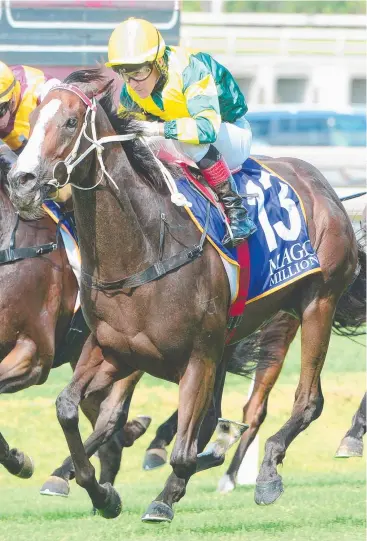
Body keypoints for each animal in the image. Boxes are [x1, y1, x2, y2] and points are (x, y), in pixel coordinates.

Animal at [8, 67, 366, 520]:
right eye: (33, 120)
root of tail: (322, 183)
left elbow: (180, 449)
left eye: (70, 122)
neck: (144, 249)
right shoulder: (113, 349)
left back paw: (268, 470)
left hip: (315, 303)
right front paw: (100, 493)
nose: (21, 181)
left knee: (306, 400)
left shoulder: (198, 354)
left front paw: (163, 498)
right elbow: (69, 408)